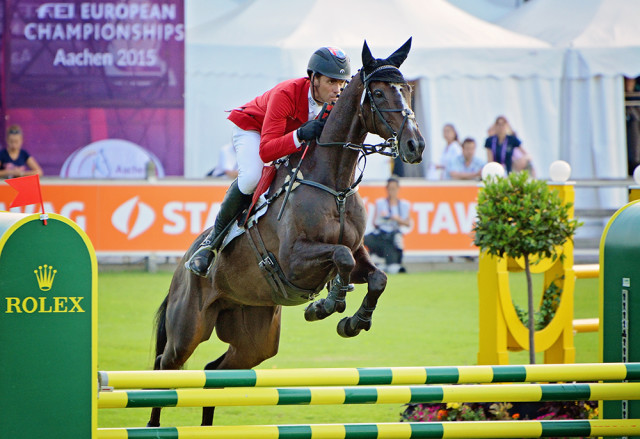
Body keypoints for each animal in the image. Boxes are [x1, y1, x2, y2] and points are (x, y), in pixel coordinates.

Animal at [149, 39, 424, 428]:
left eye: (408, 90)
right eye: (379, 92)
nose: (416, 146)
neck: (334, 185)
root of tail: (181, 265)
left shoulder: (358, 253)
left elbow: (377, 277)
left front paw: (353, 321)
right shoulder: (295, 259)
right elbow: (338, 258)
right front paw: (327, 304)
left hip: (255, 337)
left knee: (214, 372)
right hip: (188, 327)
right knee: (165, 366)